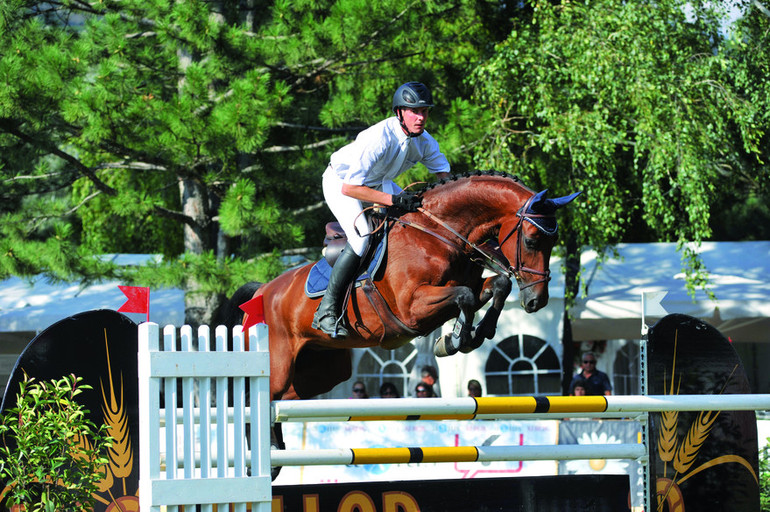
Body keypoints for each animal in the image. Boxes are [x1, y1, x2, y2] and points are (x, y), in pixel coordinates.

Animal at [222, 172, 576, 400]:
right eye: (532, 240)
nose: (537, 301)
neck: (439, 233)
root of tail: (262, 291)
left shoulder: (467, 285)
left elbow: (496, 286)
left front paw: (473, 334)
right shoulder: (412, 310)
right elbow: (464, 297)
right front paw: (455, 340)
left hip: (324, 369)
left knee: (287, 399)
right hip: (278, 365)